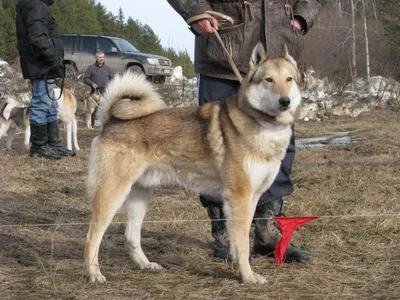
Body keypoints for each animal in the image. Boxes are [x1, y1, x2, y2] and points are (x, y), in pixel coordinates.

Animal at [85, 42, 304, 284]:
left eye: (289, 79)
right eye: (268, 80)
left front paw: (238, 266)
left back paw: (145, 264)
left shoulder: (253, 198)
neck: (263, 124)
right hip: (112, 193)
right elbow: (243, 244)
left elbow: (241, 238)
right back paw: (94, 273)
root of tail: (110, 121)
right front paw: (248, 276)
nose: (285, 101)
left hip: (139, 196)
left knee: (131, 235)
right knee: (92, 236)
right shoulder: (239, 197)